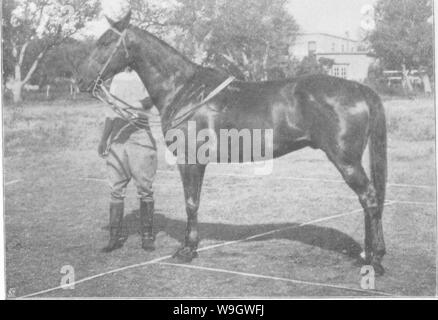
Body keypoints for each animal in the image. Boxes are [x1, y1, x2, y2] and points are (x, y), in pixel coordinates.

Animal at [77, 10, 388, 276]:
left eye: (106, 42)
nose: (81, 81)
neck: (184, 89)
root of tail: (360, 88)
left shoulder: (189, 160)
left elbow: (191, 202)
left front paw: (187, 250)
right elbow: (194, 200)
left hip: (346, 161)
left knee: (369, 198)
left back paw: (375, 260)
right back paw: (369, 253)